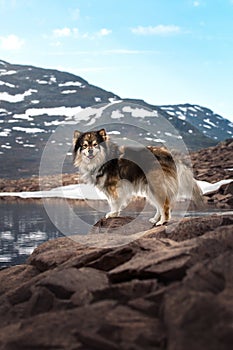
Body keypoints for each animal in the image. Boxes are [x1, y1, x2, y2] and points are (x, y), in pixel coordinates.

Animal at [73, 130, 202, 226]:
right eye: (84, 145)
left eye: (95, 144)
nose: (90, 150)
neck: (102, 158)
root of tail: (169, 154)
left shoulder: (114, 186)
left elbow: (114, 202)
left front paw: (113, 214)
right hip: (151, 189)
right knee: (159, 206)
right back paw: (155, 219)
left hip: (156, 185)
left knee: (165, 205)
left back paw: (162, 222)